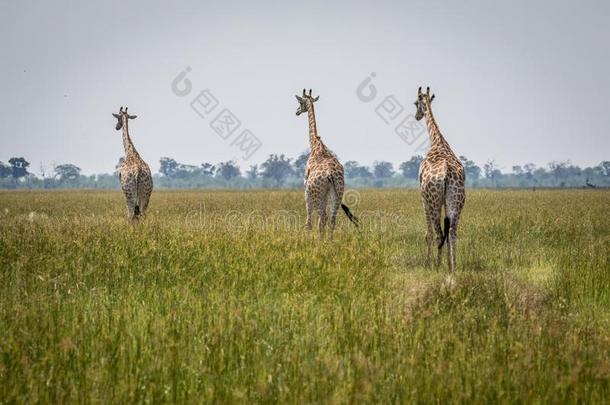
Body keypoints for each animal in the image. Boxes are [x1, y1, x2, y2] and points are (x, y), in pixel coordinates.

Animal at [294, 88, 356, 234]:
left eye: (300, 102)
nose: (297, 111)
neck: (316, 145)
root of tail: (331, 175)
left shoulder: (305, 187)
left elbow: (309, 219)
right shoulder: (327, 193)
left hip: (316, 193)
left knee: (322, 217)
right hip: (337, 193)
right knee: (331, 219)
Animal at [414, 87, 466, 272]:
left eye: (415, 103)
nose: (417, 116)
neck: (438, 142)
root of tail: (447, 174)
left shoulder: (423, 198)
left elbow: (427, 233)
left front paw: (428, 263)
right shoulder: (444, 201)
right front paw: (447, 263)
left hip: (434, 200)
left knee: (438, 233)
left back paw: (436, 266)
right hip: (456, 202)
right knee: (452, 233)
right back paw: (453, 266)